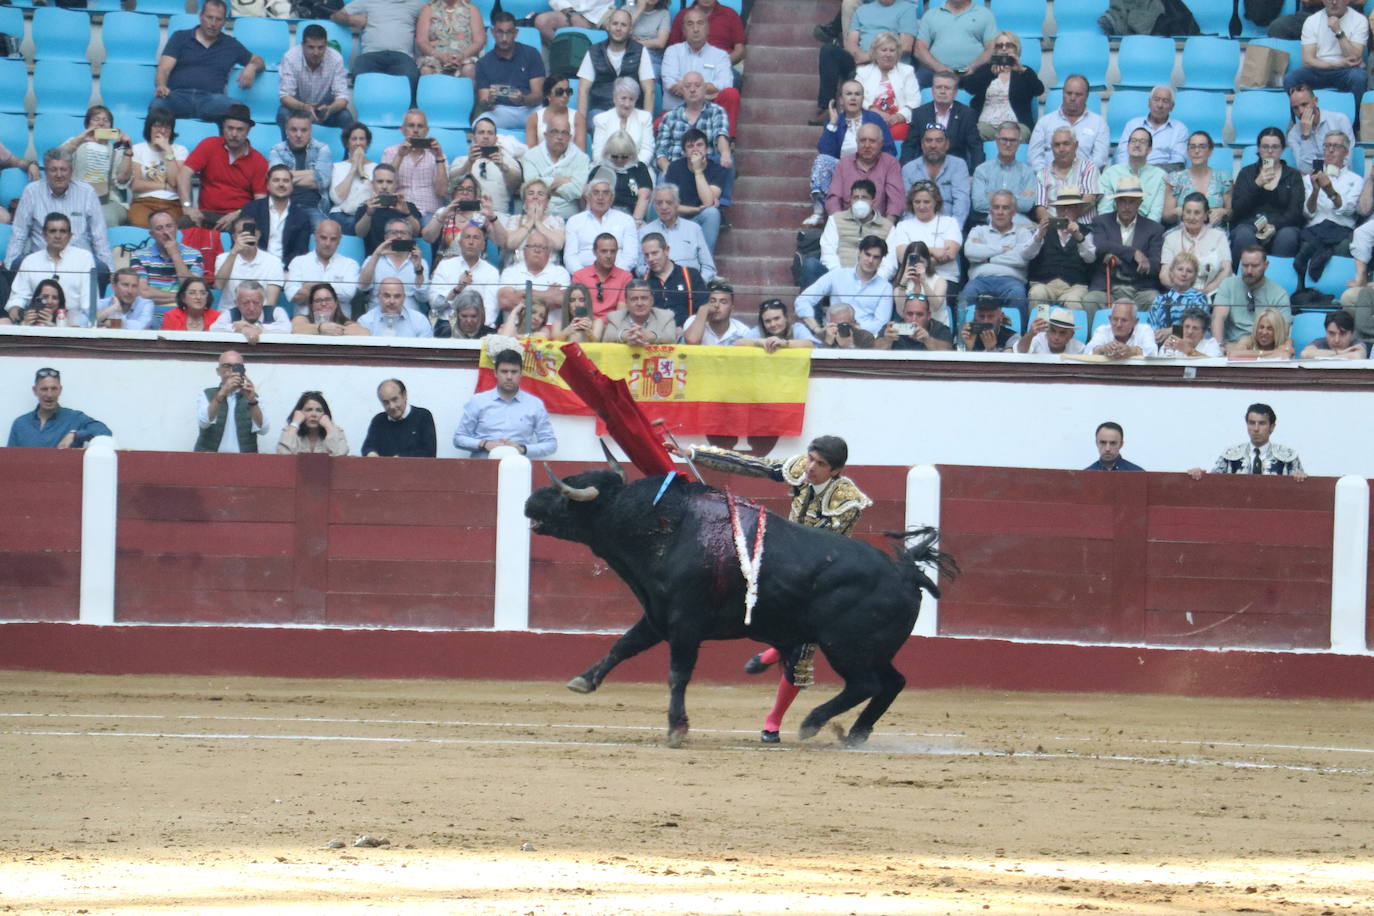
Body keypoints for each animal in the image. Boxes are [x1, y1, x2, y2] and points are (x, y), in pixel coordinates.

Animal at [524, 469, 956, 747]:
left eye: (566, 494)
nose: (530, 501)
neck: (663, 527)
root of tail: (906, 572)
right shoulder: (658, 616)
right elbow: (622, 646)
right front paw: (584, 680)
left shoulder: (685, 625)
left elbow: (677, 674)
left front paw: (677, 729)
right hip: (873, 649)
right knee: (891, 683)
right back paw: (855, 734)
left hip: (845, 646)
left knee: (865, 684)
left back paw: (812, 723)